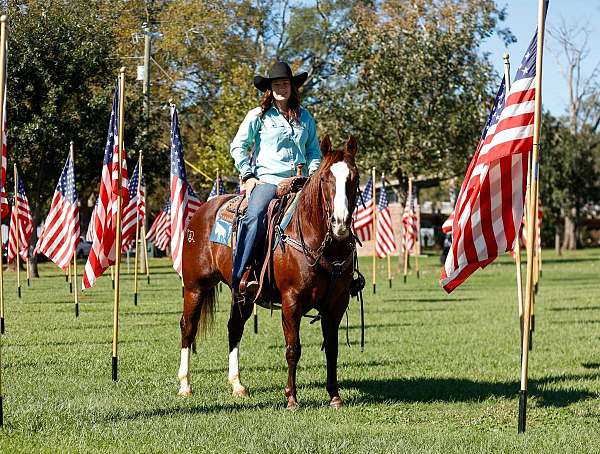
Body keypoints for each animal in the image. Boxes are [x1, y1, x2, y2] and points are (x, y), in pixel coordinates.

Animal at [176, 135, 358, 408]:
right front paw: (291, 398)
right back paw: (185, 385)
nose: (340, 223)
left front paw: (335, 396)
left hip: (241, 293)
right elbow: (293, 348)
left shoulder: (336, 304)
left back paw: (237, 385)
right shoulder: (291, 301)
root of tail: (200, 212)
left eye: (354, 178)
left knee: (234, 327)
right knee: (188, 327)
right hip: (195, 287)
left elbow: (332, 349)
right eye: (326, 178)